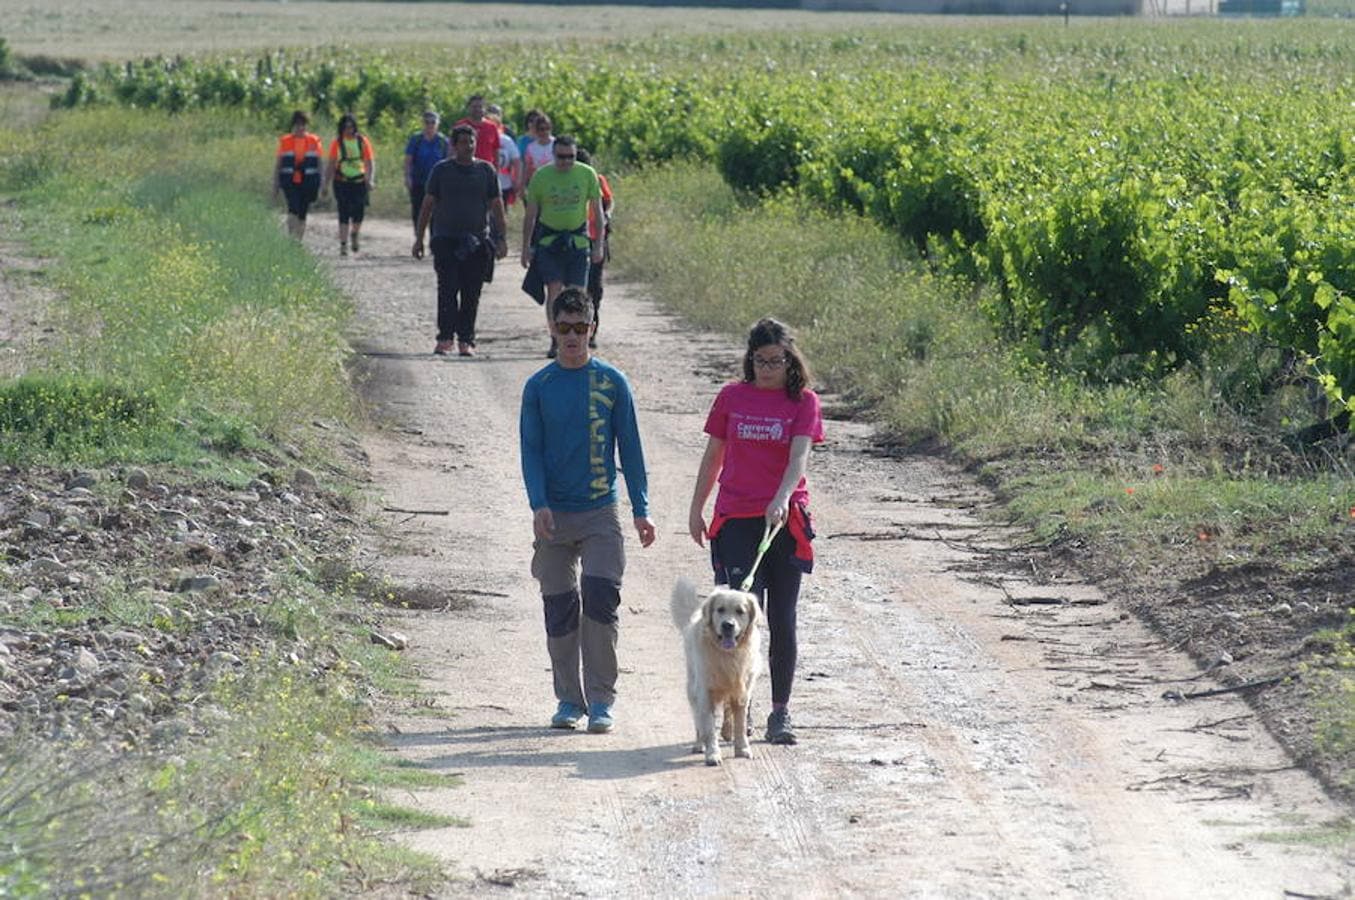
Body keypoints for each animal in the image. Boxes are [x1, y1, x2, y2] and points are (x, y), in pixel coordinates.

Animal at [669, 580, 764, 764]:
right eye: (720, 609)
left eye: (740, 611)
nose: (728, 625)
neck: (727, 655)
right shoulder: (705, 692)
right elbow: (708, 727)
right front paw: (713, 754)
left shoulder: (741, 691)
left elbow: (740, 724)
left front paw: (742, 749)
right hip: (693, 688)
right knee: (698, 720)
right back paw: (699, 744)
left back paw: (727, 731)